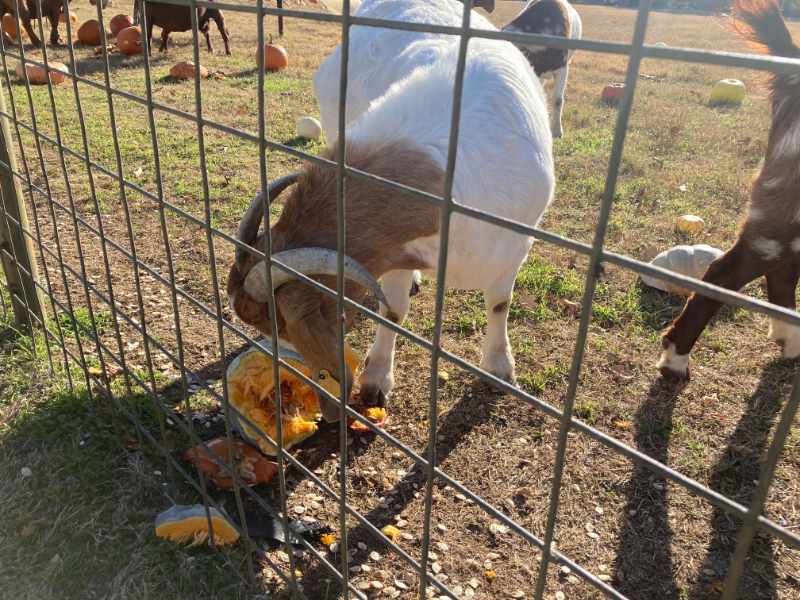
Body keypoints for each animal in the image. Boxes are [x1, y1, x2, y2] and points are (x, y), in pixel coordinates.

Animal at [228, 0, 554, 422]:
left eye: (280, 328)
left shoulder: (516, 245)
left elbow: (500, 302)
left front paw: (499, 368)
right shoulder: (398, 252)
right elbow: (393, 310)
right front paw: (376, 381)